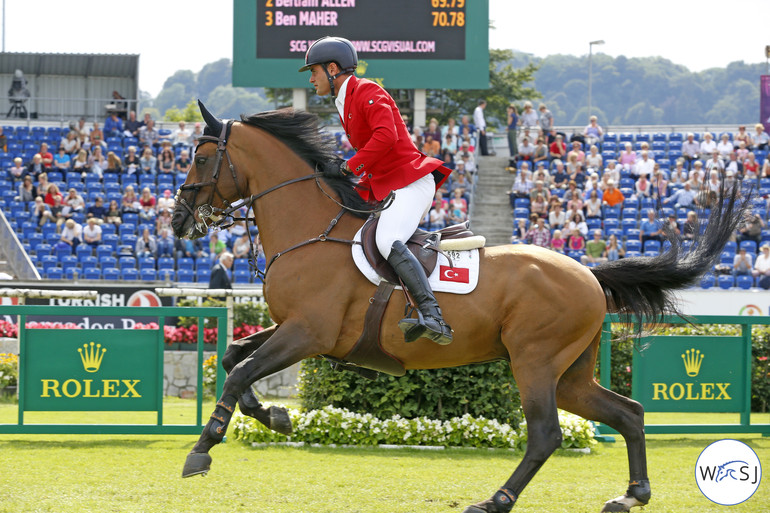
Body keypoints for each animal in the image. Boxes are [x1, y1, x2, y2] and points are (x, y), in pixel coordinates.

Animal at [172, 101, 744, 512]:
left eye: (200, 158)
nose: (177, 220)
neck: (313, 229)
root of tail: (588, 272)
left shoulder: (307, 332)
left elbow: (239, 370)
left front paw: (203, 447)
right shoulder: (296, 328)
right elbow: (235, 358)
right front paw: (274, 416)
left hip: (534, 361)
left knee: (545, 434)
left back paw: (496, 501)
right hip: (570, 374)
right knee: (628, 413)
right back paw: (631, 495)